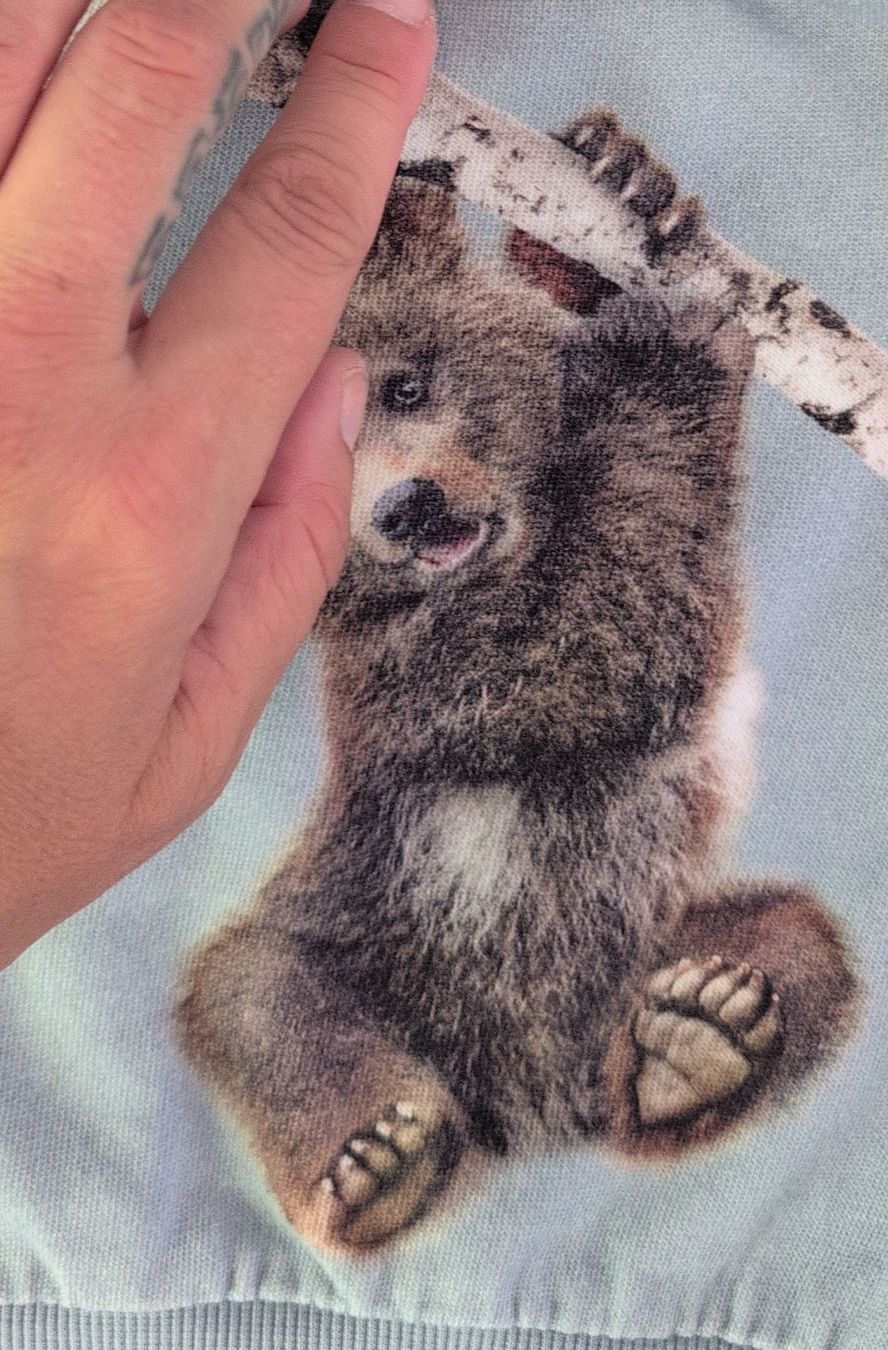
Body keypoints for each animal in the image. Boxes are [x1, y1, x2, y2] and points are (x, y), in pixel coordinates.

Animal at [175, 109, 862, 1255]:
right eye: (298, 474)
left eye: (406, 382)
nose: (405, 507)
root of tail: (536, 1109)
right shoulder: (420, 676)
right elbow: (588, 648)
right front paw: (666, 348)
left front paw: (622, 181)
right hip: (364, 925)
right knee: (258, 996)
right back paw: (382, 1160)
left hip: (653, 932)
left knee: (796, 942)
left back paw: (703, 1037)